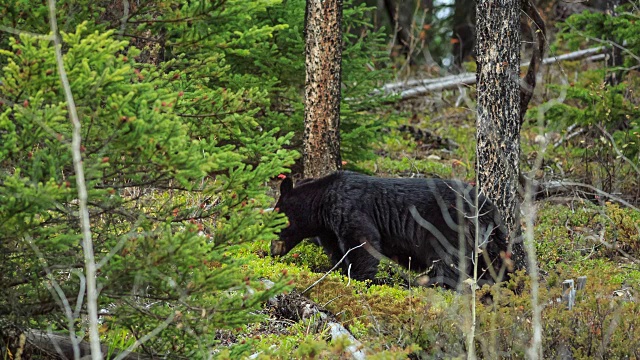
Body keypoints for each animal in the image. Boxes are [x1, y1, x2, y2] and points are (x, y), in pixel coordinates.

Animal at [270, 171, 510, 286]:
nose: (271, 251)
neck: (322, 203)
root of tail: (488, 208)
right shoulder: (328, 230)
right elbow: (337, 251)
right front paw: (340, 270)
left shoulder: (350, 207)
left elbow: (363, 242)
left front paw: (361, 279)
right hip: (492, 239)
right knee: (494, 263)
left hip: (448, 229)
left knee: (449, 261)